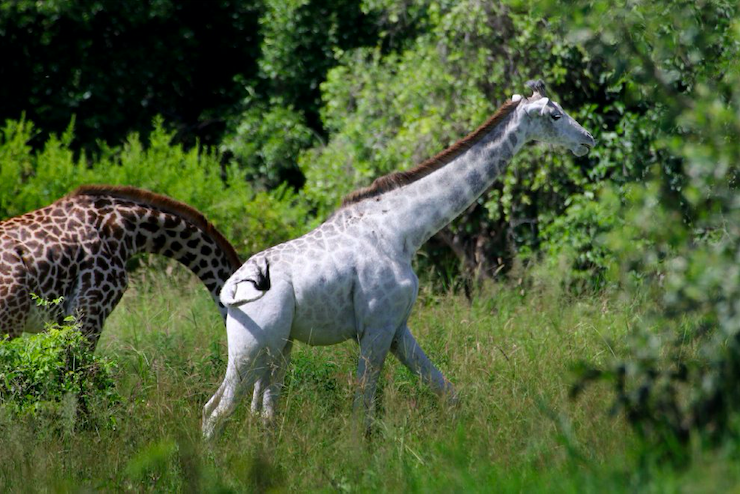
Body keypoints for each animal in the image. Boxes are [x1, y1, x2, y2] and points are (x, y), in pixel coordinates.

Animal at [202, 79, 596, 438]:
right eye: (555, 114)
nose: (588, 139)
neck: (403, 229)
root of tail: (230, 291)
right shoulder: (376, 327)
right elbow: (362, 410)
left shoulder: (397, 327)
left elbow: (447, 391)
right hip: (252, 349)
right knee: (216, 411)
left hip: (278, 349)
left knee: (256, 414)